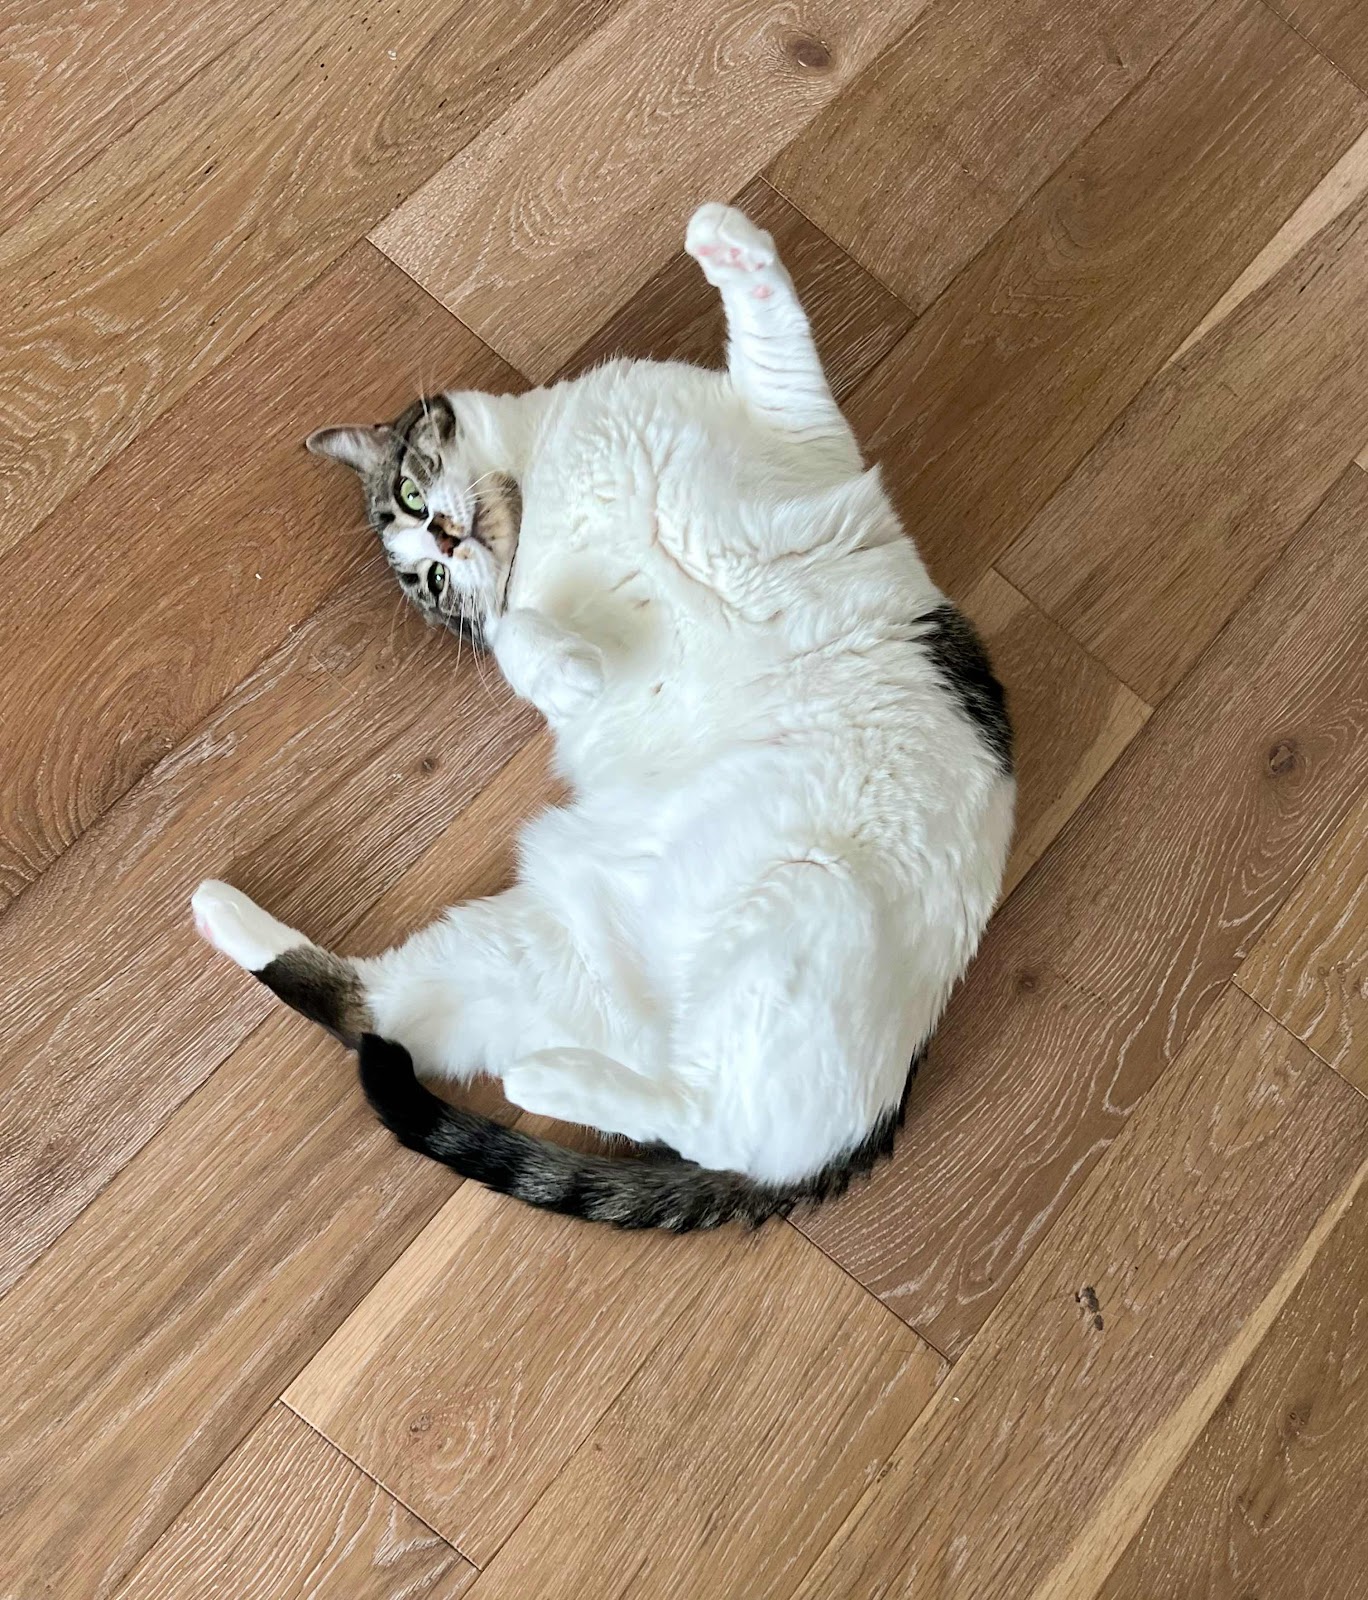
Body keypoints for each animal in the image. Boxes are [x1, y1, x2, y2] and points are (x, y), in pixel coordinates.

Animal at [192, 202, 1014, 1231]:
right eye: (427, 578)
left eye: (415, 497)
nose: (445, 540)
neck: (544, 481)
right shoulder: (534, 608)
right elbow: (516, 631)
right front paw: (570, 673)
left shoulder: (793, 418)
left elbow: (770, 321)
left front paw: (723, 240)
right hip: (611, 938)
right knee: (401, 1022)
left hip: (765, 918)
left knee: (679, 1111)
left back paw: (544, 1076)